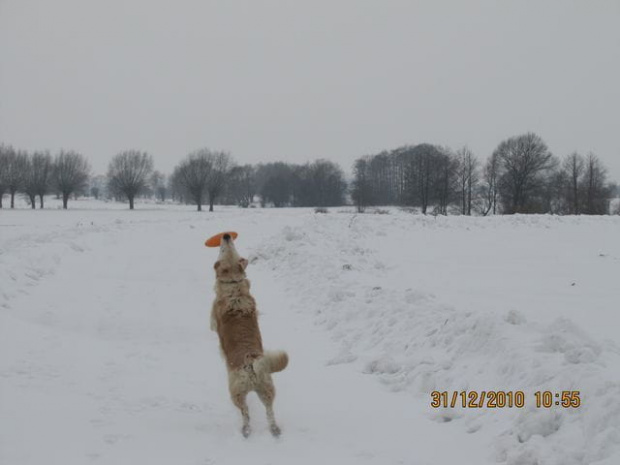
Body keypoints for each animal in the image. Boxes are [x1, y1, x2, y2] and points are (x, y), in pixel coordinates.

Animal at [209, 234, 290, 436]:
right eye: (230, 246)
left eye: (223, 249)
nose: (226, 235)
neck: (234, 284)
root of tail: (251, 365)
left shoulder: (212, 318)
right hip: (267, 390)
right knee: (270, 411)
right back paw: (275, 430)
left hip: (236, 392)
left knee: (245, 412)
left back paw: (246, 430)